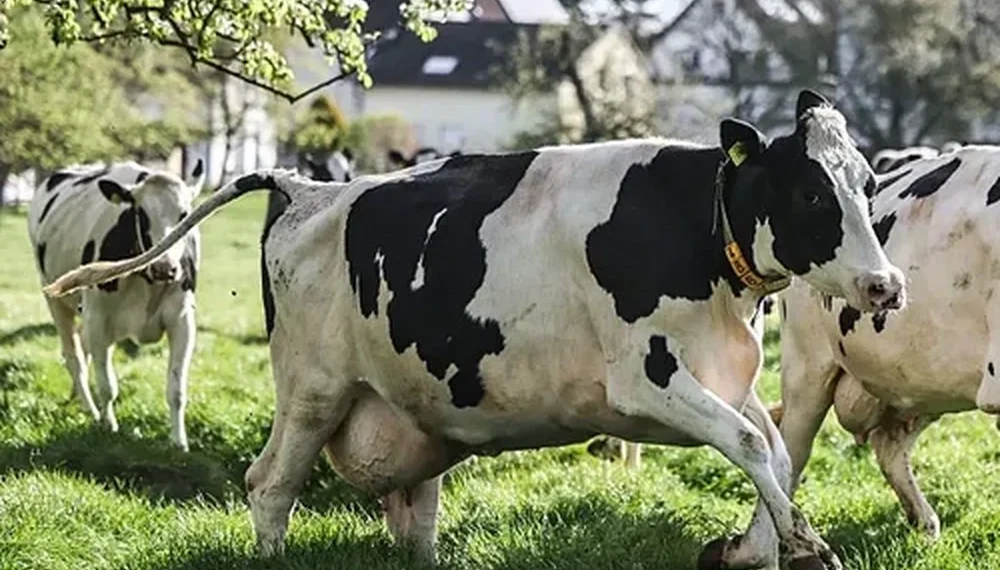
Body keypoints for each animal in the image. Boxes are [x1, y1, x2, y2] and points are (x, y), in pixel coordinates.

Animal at [29, 160, 205, 451]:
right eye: (141, 214)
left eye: (185, 214)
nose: (165, 268)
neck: (147, 280)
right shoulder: (98, 320)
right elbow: (107, 385)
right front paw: (108, 425)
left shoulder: (182, 322)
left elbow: (176, 389)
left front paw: (179, 443)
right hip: (54, 298)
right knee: (74, 357)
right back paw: (90, 409)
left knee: (83, 350)